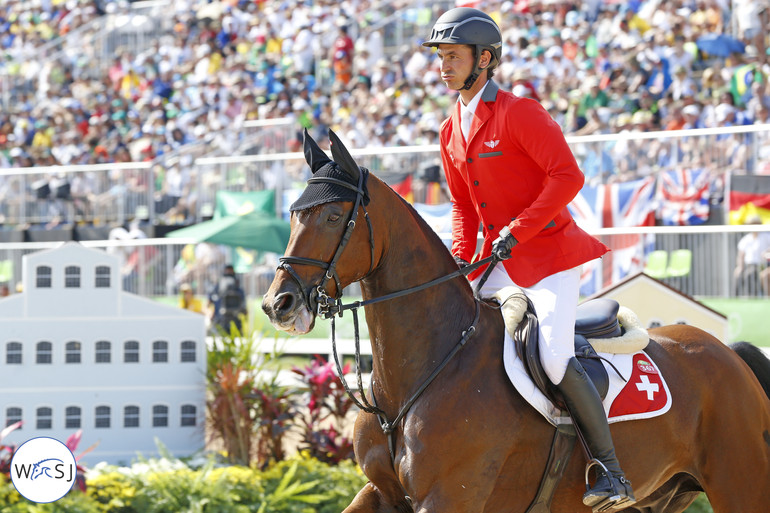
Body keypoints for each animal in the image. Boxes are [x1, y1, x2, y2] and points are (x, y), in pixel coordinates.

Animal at [262, 129, 768, 512]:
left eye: (332, 216)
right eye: (292, 215)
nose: (277, 304)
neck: (414, 379)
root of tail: (728, 353)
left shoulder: (449, 499)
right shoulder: (380, 493)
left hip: (739, 483)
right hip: (665, 494)